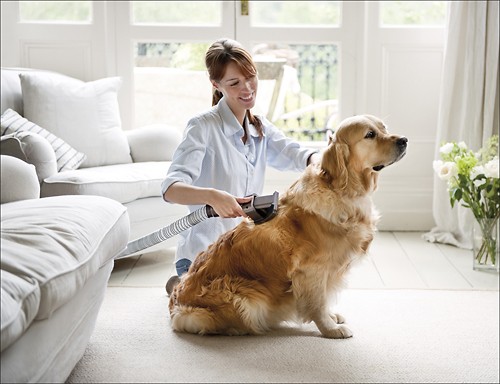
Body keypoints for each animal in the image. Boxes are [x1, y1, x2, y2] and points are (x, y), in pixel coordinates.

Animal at [168, 115, 406, 340]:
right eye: (370, 135)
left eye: (384, 128)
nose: (404, 140)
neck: (344, 192)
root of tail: (175, 302)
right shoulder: (311, 271)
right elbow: (318, 304)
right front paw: (330, 328)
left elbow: (324, 299)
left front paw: (332, 317)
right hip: (243, 296)